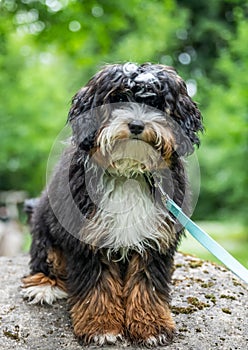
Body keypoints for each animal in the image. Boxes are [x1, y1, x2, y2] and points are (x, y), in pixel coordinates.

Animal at [21, 61, 203, 346]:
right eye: (117, 98)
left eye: (157, 103)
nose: (137, 124)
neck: (129, 172)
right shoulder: (87, 235)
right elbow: (97, 285)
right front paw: (101, 326)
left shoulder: (155, 237)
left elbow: (147, 282)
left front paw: (151, 325)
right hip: (44, 224)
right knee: (44, 257)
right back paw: (44, 285)